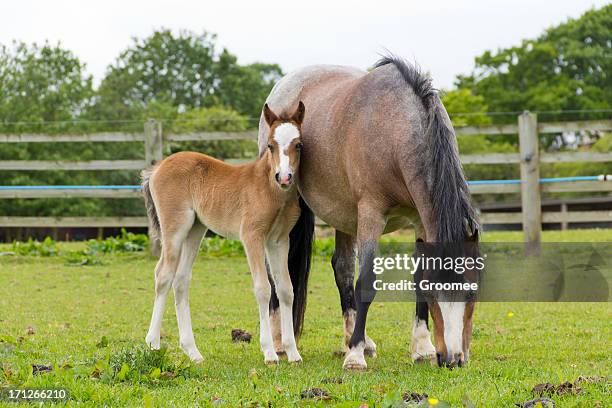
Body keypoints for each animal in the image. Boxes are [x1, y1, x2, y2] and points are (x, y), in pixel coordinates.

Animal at [143, 102, 306, 364]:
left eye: (298, 144)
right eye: (271, 145)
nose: (284, 177)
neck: (270, 189)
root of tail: (157, 167)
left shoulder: (279, 241)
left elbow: (286, 289)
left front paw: (292, 352)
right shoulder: (252, 236)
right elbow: (263, 288)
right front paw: (270, 352)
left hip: (195, 229)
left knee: (181, 280)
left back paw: (193, 351)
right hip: (175, 228)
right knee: (164, 275)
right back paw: (153, 344)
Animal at [258, 55, 478, 370]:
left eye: (471, 293)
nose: (454, 359)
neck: (395, 128)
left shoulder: (420, 223)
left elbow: (413, 278)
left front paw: (421, 347)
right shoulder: (371, 215)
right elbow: (366, 282)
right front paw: (354, 357)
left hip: (344, 215)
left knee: (342, 269)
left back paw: (356, 337)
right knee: (276, 269)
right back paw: (278, 343)